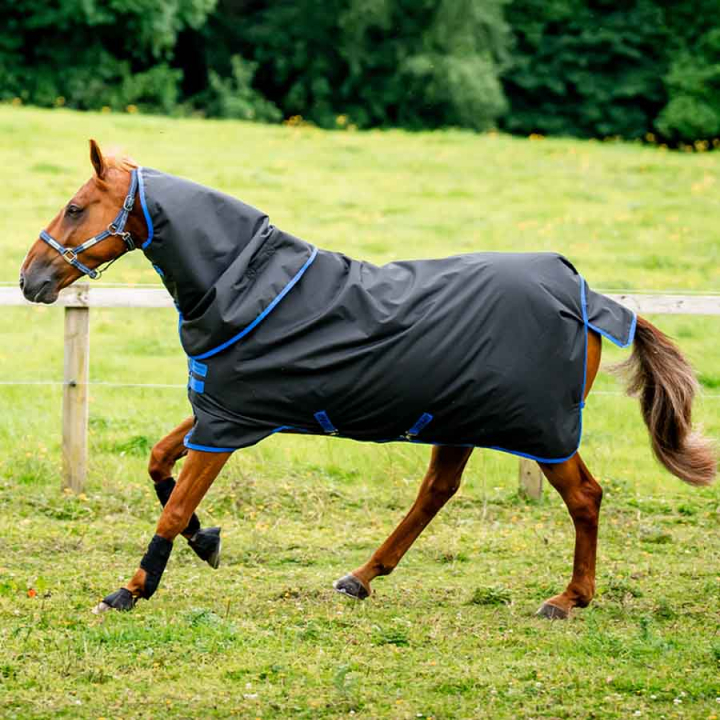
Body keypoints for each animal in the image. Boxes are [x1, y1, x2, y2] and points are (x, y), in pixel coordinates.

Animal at [20, 140, 716, 619]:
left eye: (76, 206)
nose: (31, 280)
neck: (248, 285)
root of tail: (590, 298)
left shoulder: (227, 423)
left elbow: (174, 504)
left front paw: (132, 588)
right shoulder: (225, 407)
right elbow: (160, 464)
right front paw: (206, 541)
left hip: (541, 431)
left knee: (585, 497)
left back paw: (569, 598)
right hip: (459, 417)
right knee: (437, 491)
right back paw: (361, 576)